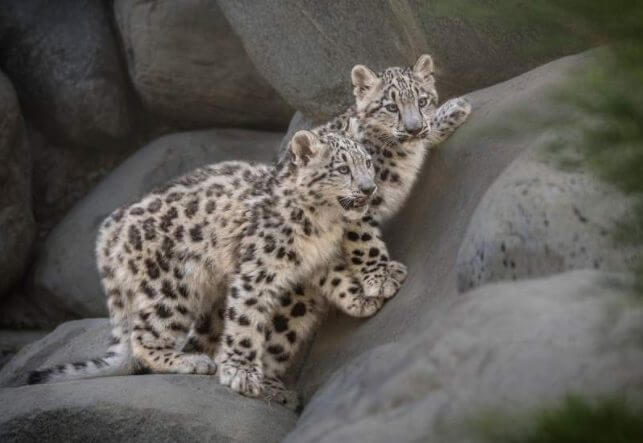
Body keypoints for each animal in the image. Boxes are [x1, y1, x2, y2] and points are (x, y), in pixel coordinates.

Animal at [27, 129, 376, 412]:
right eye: (342, 168)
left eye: (368, 163)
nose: (369, 188)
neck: (322, 225)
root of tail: (109, 230)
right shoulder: (256, 270)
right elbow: (246, 319)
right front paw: (241, 373)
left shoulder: (320, 260)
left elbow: (337, 276)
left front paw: (364, 297)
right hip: (172, 286)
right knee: (145, 337)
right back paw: (192, 361)